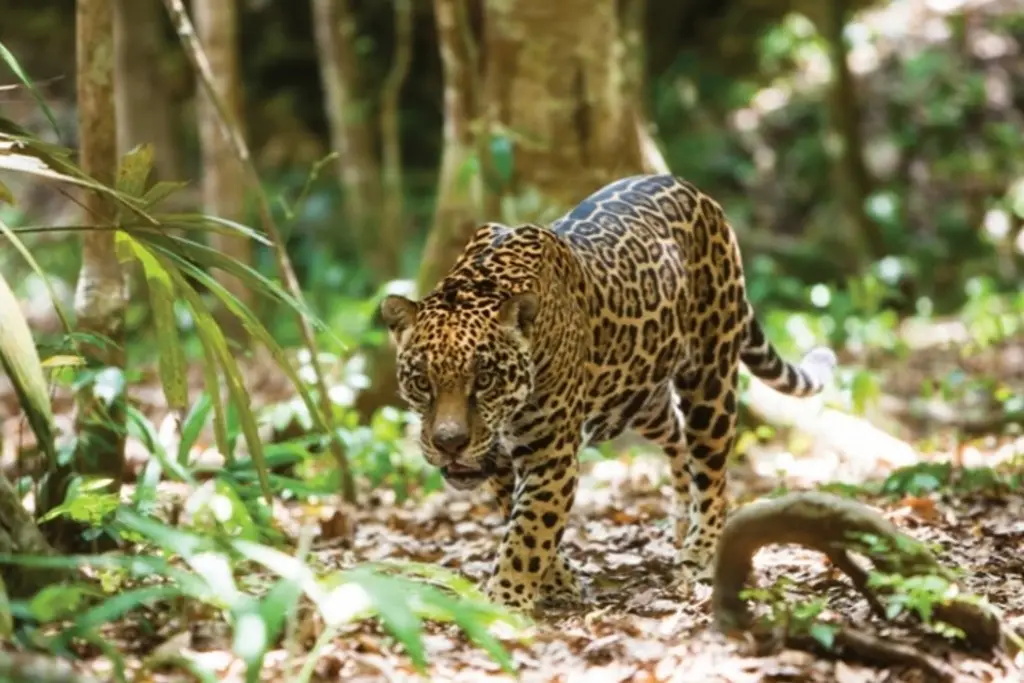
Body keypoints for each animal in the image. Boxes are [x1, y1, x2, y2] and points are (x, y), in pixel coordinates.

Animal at [380, 173, 837, 612]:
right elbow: (520, 519)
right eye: (422, 382)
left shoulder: (550, 456)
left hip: (709, 377)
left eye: (485, 380)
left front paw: (505, 603)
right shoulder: (501, 463)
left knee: (713, 471)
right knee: (676, 437)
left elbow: (528, 534)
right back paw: (679, 522)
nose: (449, 443)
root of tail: (697, 192)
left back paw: (701, 549)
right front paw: (558, 581)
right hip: (638, 395)